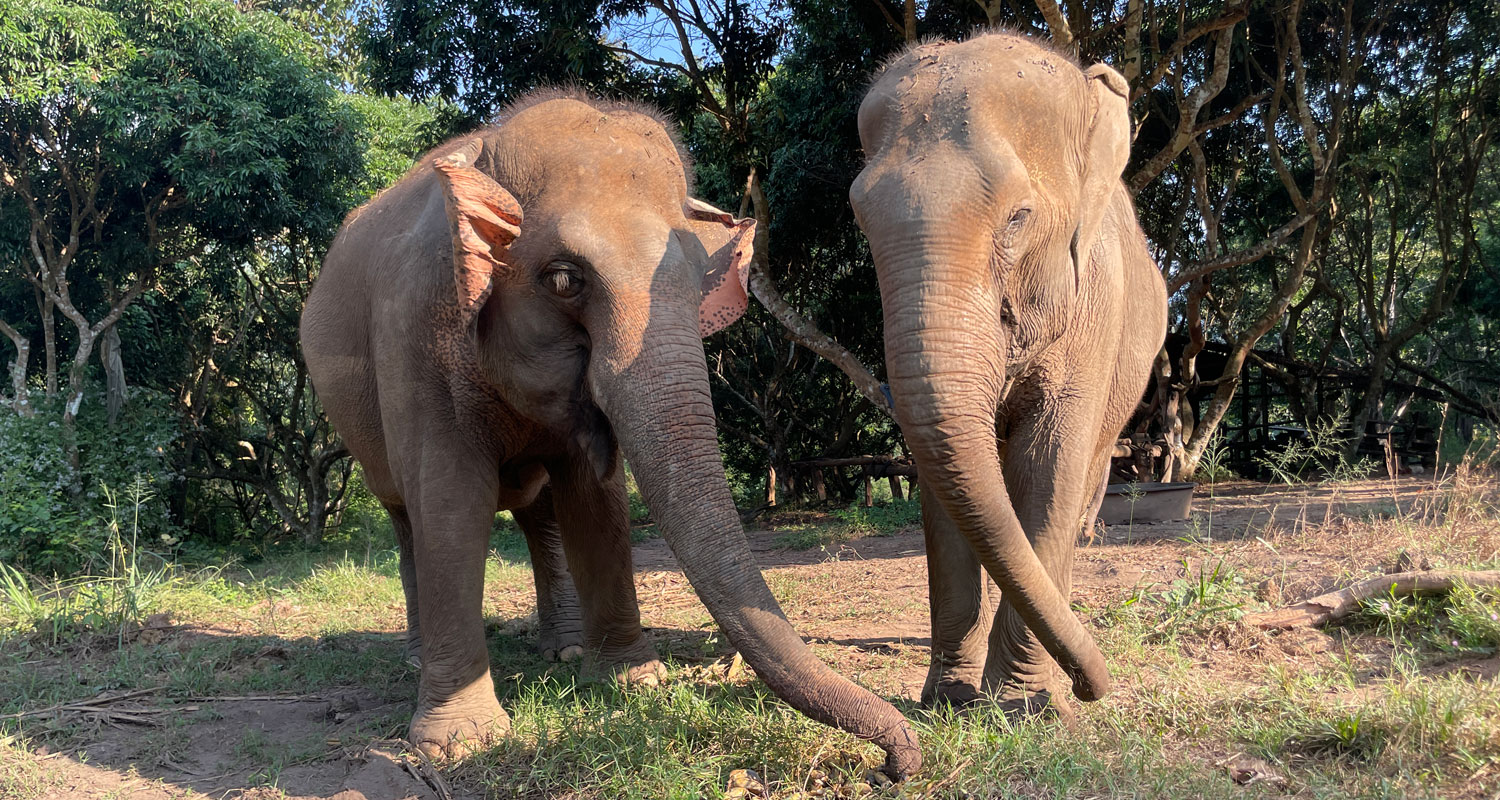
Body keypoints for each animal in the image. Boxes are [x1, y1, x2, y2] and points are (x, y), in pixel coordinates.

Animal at [852, 34, 1164, 711]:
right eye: (861, 220)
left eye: (1018, 217)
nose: (1094, 687)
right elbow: (943, 478)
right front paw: (950, 700)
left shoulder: (1096, 305)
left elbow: (1049, 460)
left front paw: (1025, 707)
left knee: (1084, 475)